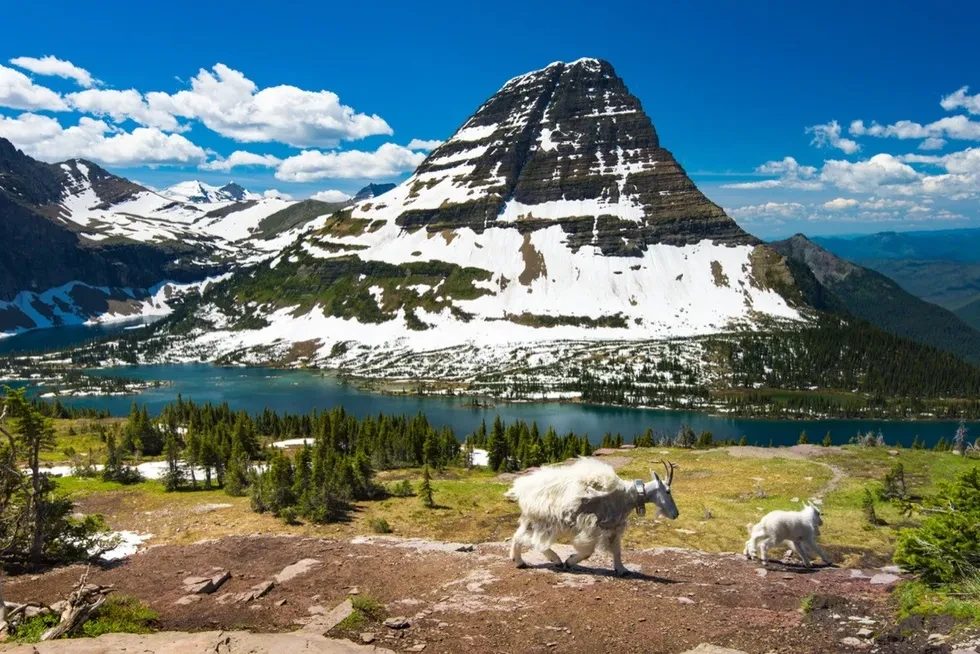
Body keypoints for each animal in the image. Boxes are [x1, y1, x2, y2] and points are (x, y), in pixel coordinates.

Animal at [505, 458, 679, 576]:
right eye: (668, 490)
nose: (676, 514)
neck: (626, 496)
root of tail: (521, 488)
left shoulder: (614, 527)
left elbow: (617, 550)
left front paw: (622, 569)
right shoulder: (592, 526)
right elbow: (588, 551)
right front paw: (569, 561)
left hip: (533, 519)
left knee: (519, 536)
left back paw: (520, 561)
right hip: (544, 519)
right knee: (533, 540)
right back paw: (553, 559)